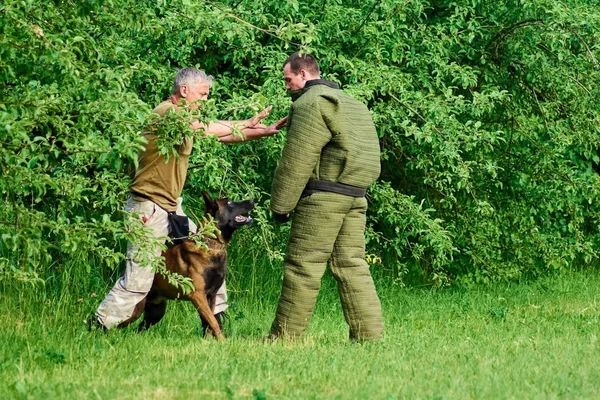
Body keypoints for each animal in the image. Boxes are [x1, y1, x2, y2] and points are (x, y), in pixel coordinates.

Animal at [118, 190, 255, 338]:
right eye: (229, 202)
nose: (252, 200)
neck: (211, 245)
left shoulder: (211, 296)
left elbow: (209, 322)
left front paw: (208, 341)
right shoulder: (198, 295)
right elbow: (213, 322)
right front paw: (222, 340)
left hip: (156, 312)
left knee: (139, 328)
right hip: (136, 309)